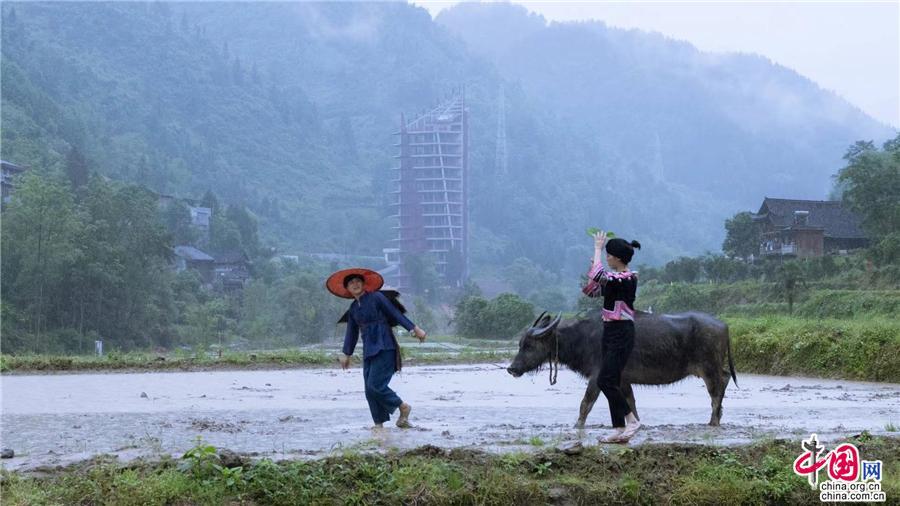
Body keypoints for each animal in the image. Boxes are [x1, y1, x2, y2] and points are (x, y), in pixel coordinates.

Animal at [506, 308, 740, 426]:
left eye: (529, 345)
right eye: (520, 344)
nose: (512, 369)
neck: (582, 338)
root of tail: (724, 325)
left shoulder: (598, 376)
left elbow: (586, 403)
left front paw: (577, 426)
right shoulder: (623, 379)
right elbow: (630, 403)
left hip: (708, 368)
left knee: (717, 389)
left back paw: (713, 420)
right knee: (725, 379)